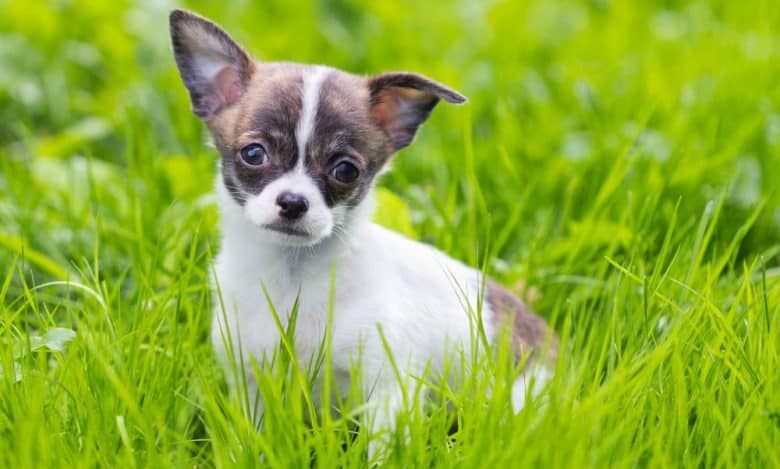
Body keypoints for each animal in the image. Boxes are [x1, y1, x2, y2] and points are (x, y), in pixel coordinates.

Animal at [170, 7, 556, 454]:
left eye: (345, 170)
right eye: (253, 154)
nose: (293, 202)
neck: (293, 277)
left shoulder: (389, 388)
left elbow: (378, 450)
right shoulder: (252, 380)